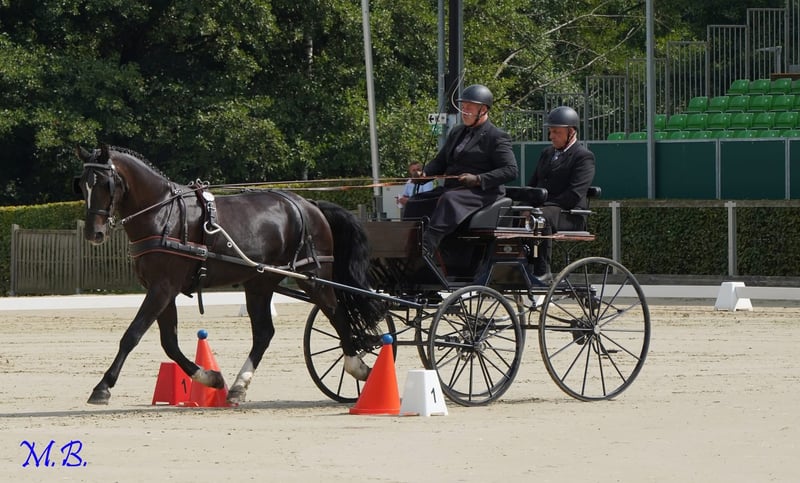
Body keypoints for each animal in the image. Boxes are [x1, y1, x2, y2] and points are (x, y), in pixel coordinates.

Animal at [75, 144, 385, 405]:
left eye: (106, 183)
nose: (94, 233)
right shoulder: (162, 289)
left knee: (337, 314)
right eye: (82, 184)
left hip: (313, 277)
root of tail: (309, 204)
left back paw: (358, 366)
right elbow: (169, 343)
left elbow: (132, 334)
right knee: (264, 333)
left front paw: (102, 387)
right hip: (260, 283)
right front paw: (209, 377)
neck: (164, 215)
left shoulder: (162, 288)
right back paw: (238, 386)